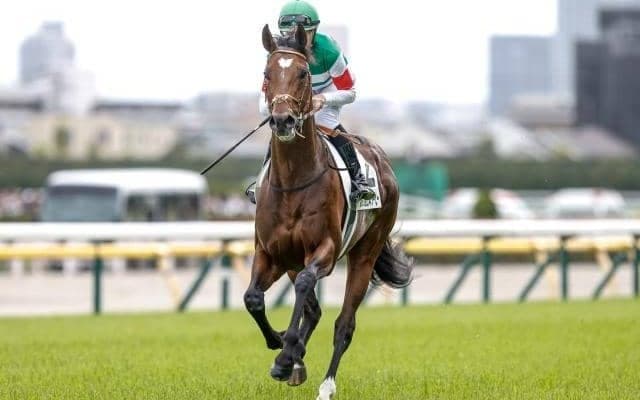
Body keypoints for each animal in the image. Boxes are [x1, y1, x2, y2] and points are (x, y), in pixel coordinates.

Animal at [243, 23, 414, 400]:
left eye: (304, 73)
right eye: (266, 74)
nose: (282, 120)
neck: (294, 180)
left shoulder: (325, 250)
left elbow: (308, 284)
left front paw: (285, 355)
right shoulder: (271, 253)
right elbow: (253, 299)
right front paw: (281, 346)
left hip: (365, 254)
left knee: (344, 323)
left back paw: (325, 384)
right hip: (292, 261)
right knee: (313, 309)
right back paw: (296, 360)